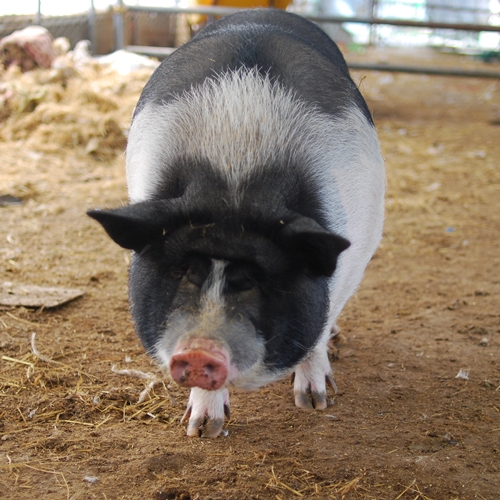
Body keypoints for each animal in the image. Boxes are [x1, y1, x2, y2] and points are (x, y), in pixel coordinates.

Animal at [88, 9, 385, 437]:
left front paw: (314, 403)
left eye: (256, 279)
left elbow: (319, 327)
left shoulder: (357, 254)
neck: (234, 183)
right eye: (183, 269)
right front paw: (201, 430)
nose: (199, 352)